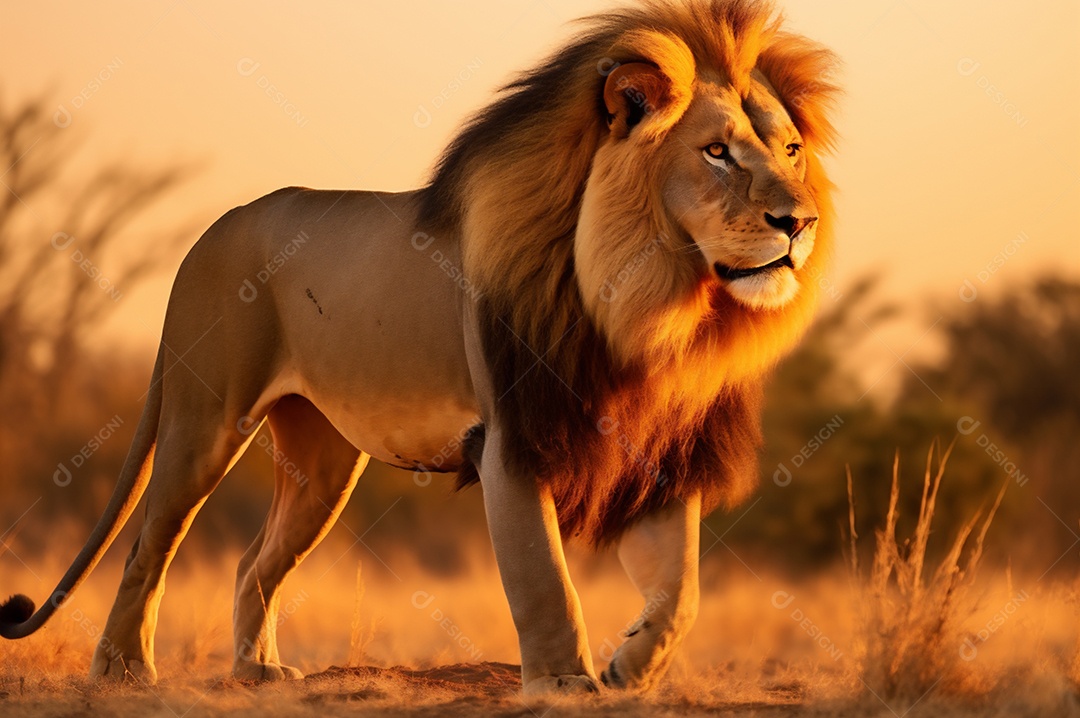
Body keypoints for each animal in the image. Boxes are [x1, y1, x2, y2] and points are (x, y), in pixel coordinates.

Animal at [0, 0, 838, 695]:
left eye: (792, 149)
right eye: (717, 152)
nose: (798, 222)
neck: (651, 310)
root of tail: (211, 230)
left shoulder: (656, 453)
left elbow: (681, 594)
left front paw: (628, 669)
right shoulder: (512, 442)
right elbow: (546, 584)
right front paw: (564, 684)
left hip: (322, 462)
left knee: (251, 560)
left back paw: (257, 671)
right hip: (204, 422)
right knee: (147, 545)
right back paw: (124, 673)